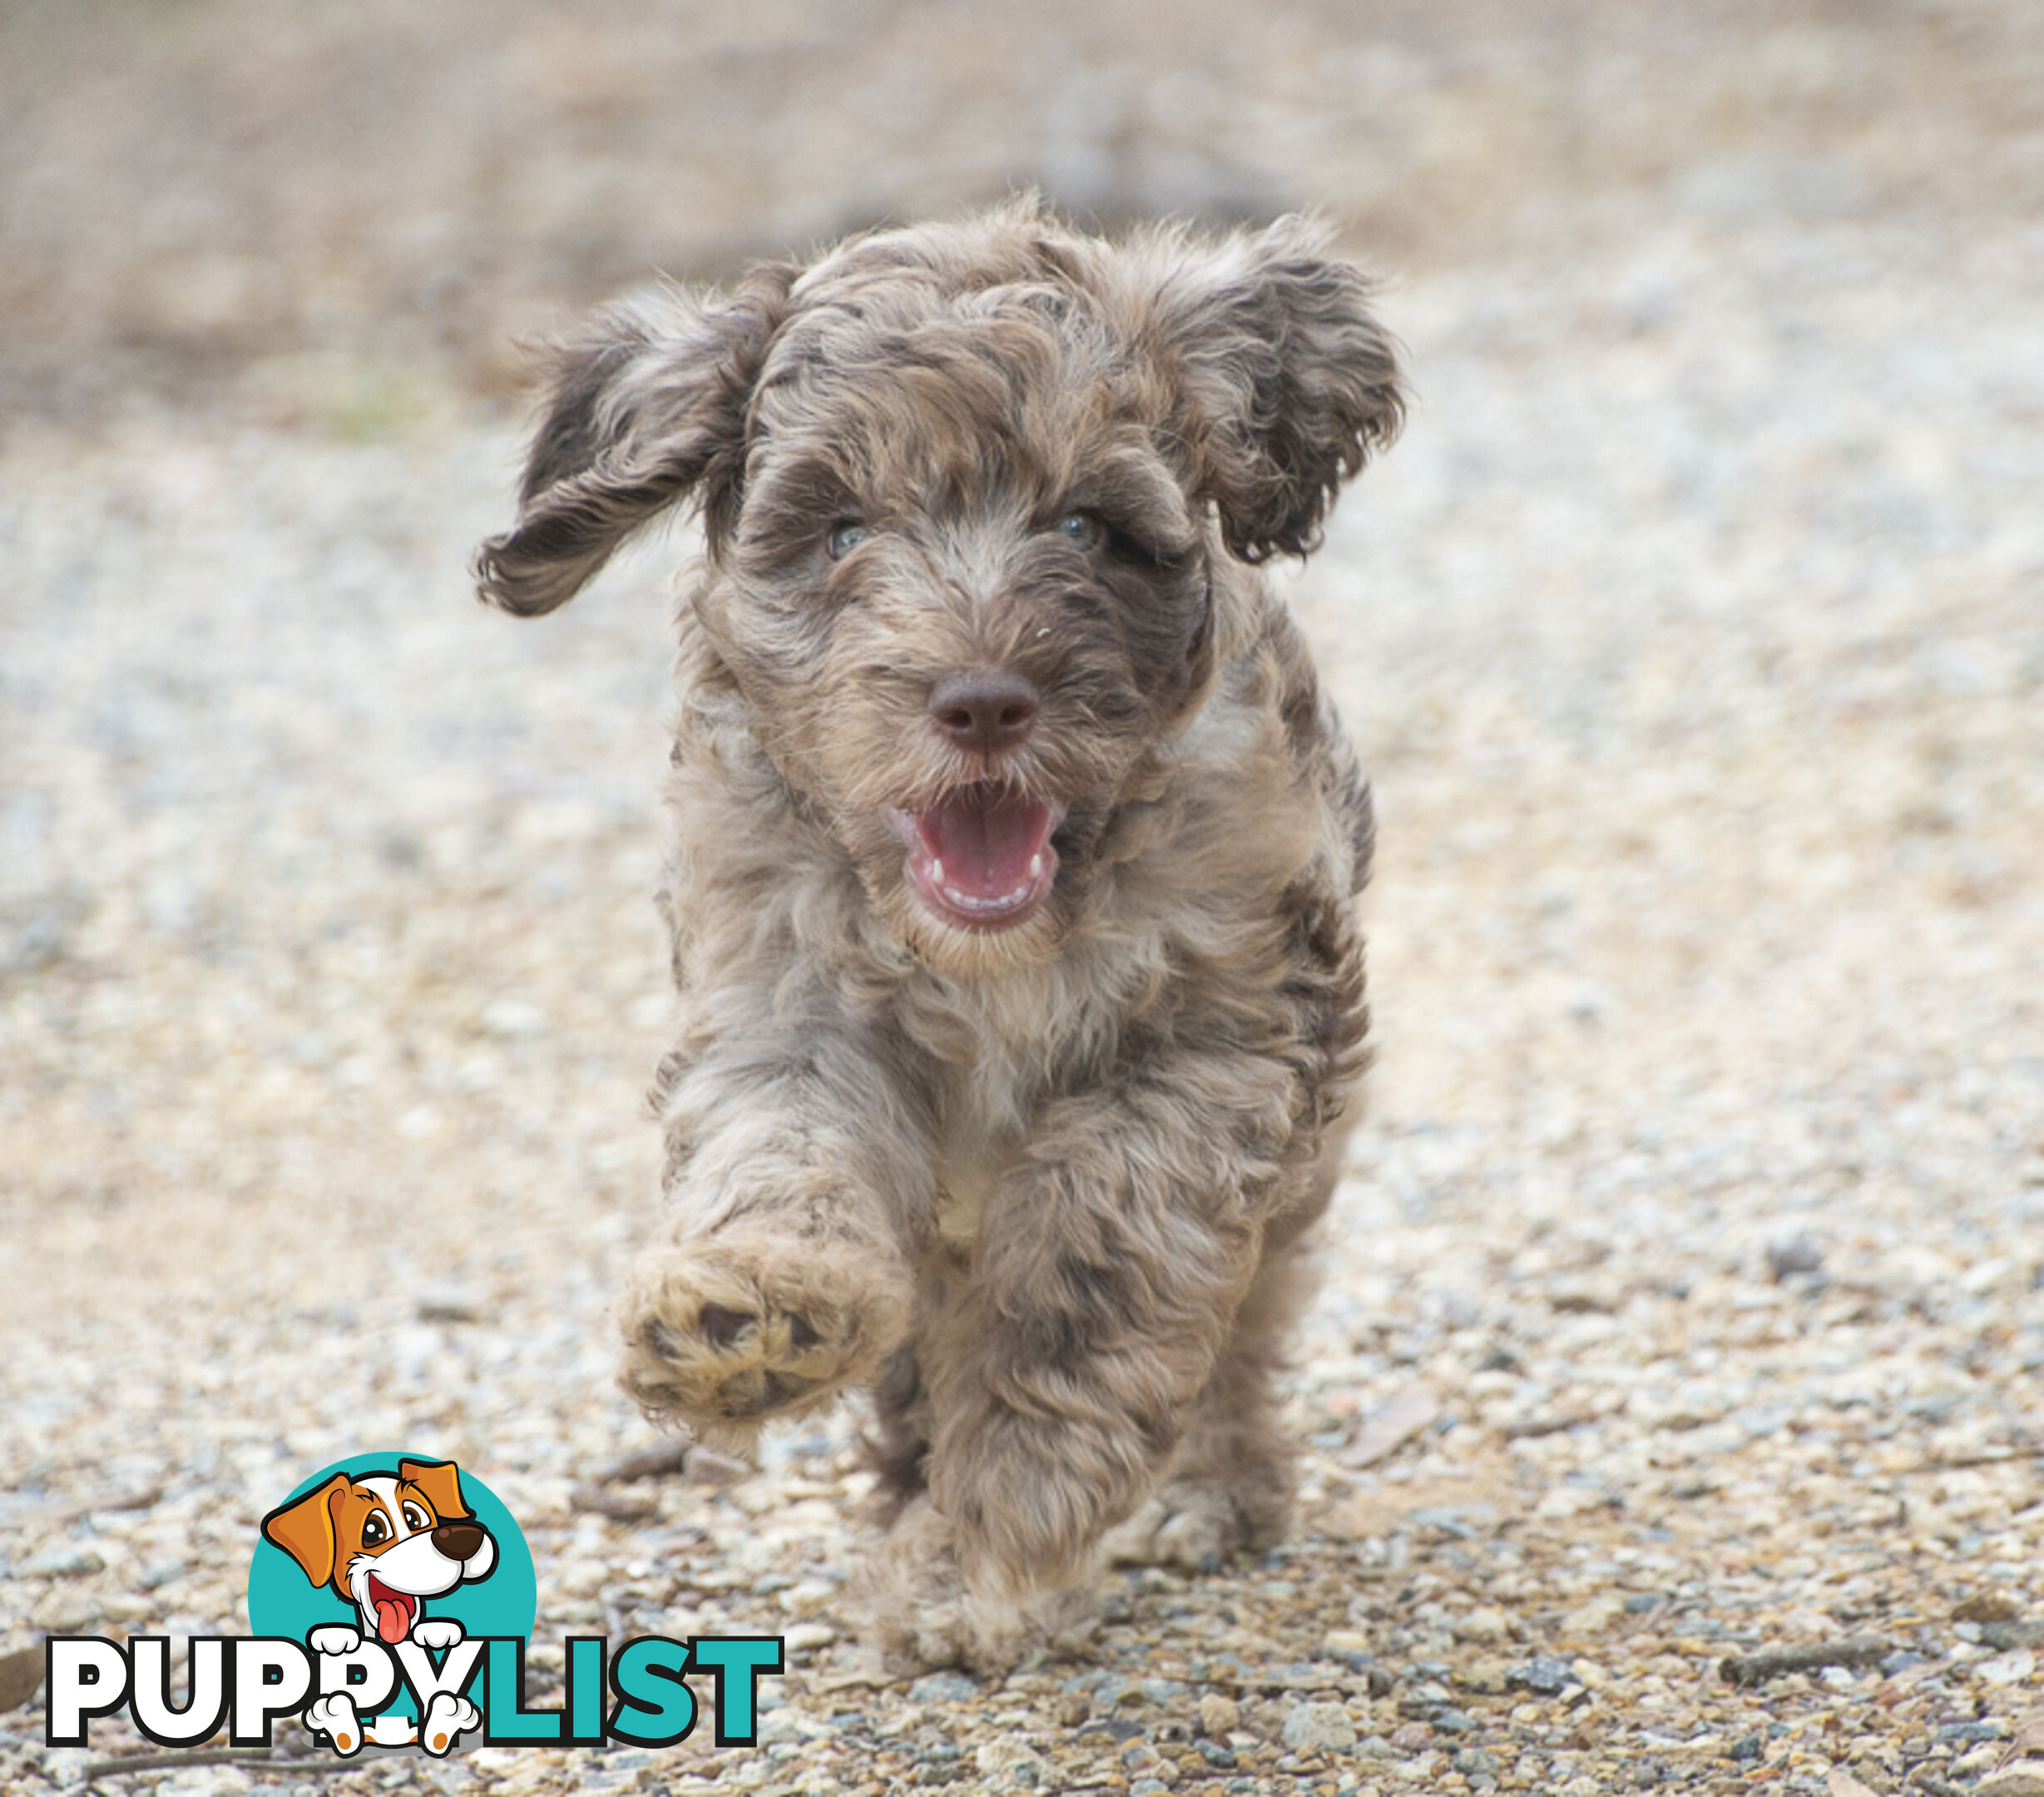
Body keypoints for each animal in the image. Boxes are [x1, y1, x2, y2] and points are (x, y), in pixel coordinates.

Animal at [474, 200, 1406, 1676]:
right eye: (841, 530)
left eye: (1086, 523)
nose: (980, 703)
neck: (995, 951)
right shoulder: (779, 990)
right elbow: (778, 1149)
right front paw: (751, 1306)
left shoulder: (1224, 1029)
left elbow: (1094, 1257)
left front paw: (995, 1529)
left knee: (1244, 1322)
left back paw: (1202, 1493)